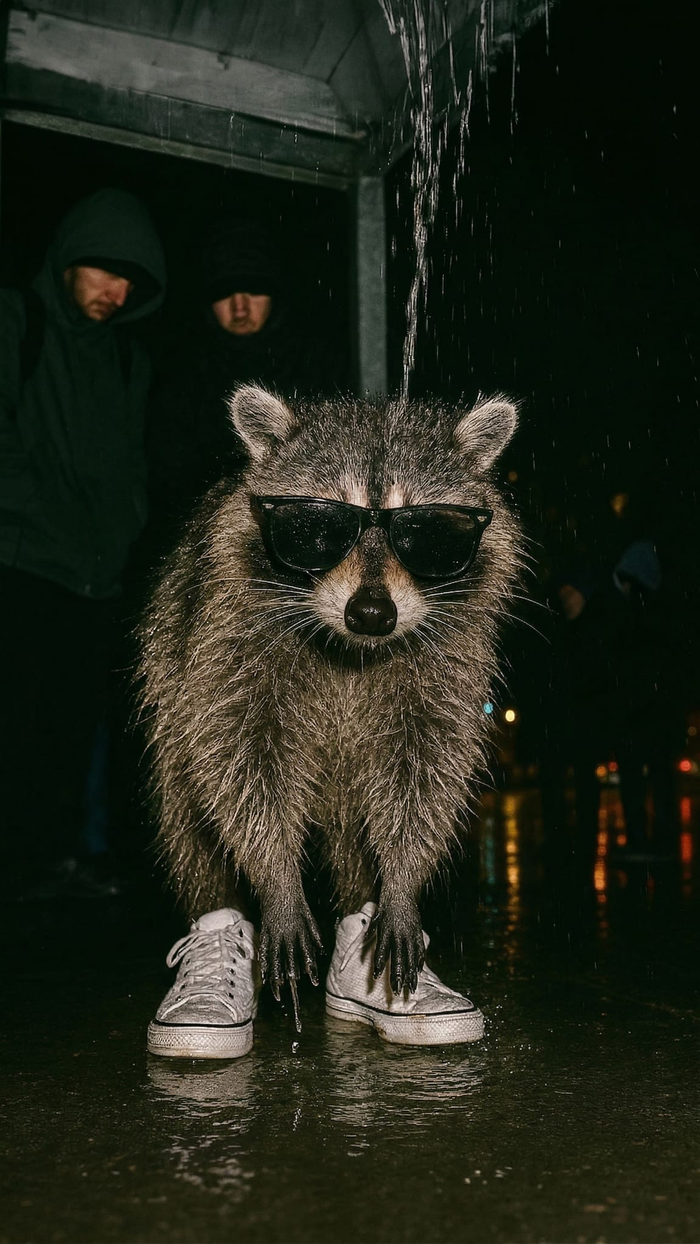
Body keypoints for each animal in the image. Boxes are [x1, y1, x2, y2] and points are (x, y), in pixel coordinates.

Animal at [138, 385, 521, 996]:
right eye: (317, 528)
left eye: (429, 532)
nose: (372, 613)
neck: (351, 649)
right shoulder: (227, 643)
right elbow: (240, 760)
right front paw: (276, 878)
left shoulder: (446, 664)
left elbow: (424, 769)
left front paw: (403, 882)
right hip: (169, 677)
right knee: (190, 818)